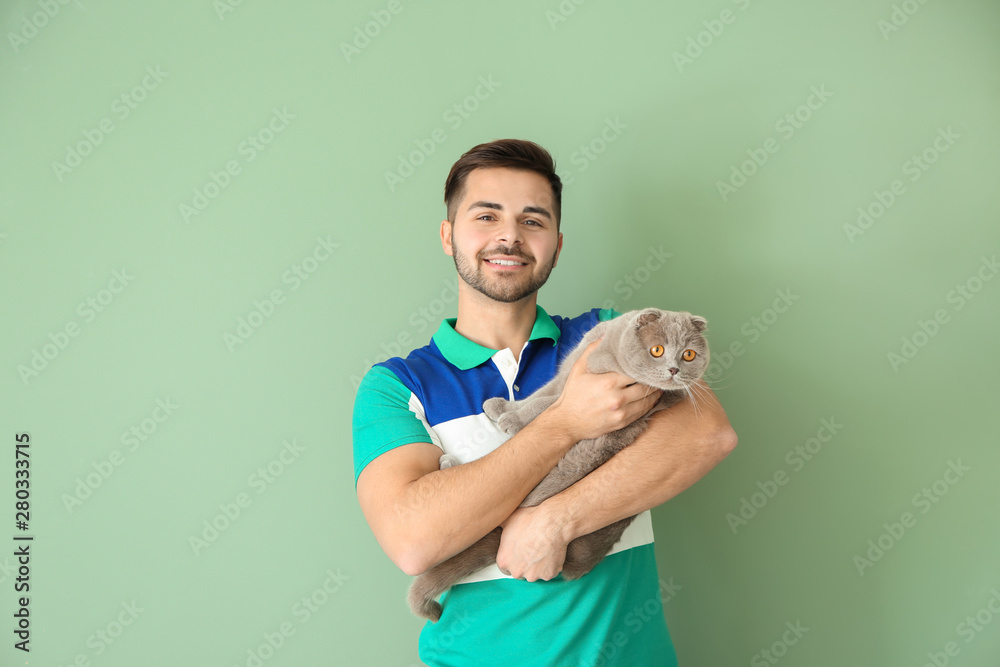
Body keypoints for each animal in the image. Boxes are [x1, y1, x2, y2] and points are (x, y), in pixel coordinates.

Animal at [406, 310, 712, 624]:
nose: (674, 370)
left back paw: (449, 463)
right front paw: (501, 408)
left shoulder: (585, 394)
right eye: (657, 350)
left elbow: (548, 404)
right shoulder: (570, 370)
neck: (607, 349)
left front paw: (513, 420)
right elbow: (543, 392)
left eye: (689, 355)